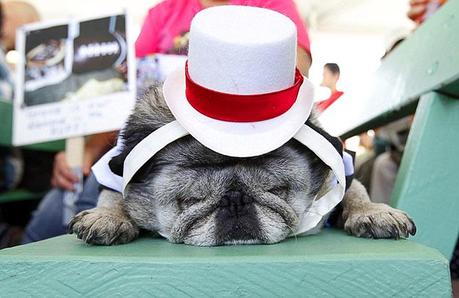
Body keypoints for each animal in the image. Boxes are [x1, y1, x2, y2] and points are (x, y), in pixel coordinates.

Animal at [68, 86, 416, 247]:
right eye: (190, 201)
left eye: (278, 191)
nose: (235, 200)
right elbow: (113, 194)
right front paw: (108, 217)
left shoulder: (339, 167)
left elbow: (356, 190)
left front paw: (372, 211)